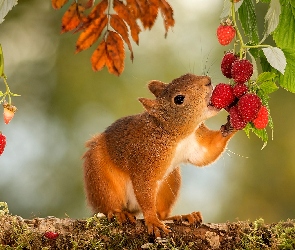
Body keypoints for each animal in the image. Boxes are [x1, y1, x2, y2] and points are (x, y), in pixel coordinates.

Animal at [82, 73, 236, 236]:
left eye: (188, 75)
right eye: (179, 99)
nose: (208, 81)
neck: (177, 135)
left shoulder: (196, 142)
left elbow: (207, 153)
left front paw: (232, 124)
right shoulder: (145, 157)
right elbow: (144, 186)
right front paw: (152, 220)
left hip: (170, 182)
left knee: (162, 213)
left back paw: (184, 216)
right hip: (100, 177)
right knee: (108, 204)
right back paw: (119, 213)